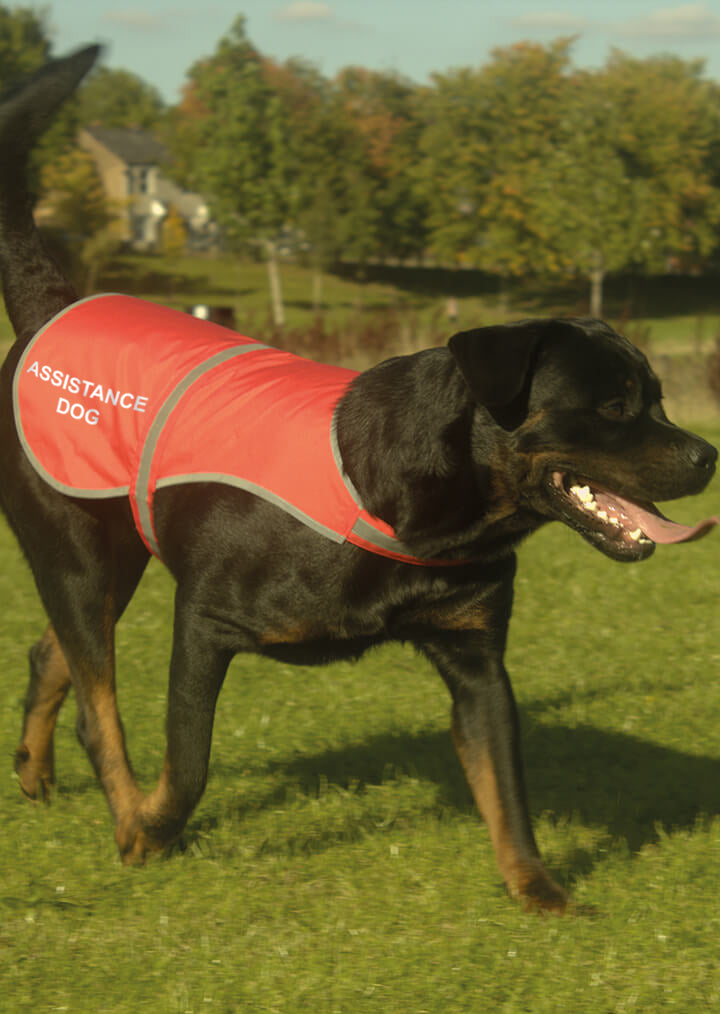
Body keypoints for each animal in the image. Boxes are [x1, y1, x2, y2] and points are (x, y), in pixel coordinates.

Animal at [0, 51, 717, 916]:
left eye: (661, 399)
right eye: (613, 406)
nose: (707, 455)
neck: (423, 505)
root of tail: (52, 309)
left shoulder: (476, 656)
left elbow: (504, 785)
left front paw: (539, 889)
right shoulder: (206, 622)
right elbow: (189, 762)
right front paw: (151, 828)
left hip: (119, 553)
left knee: (57, 653)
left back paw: (34, 771)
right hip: (73, 547)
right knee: (96, 696)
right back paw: (120, 805)